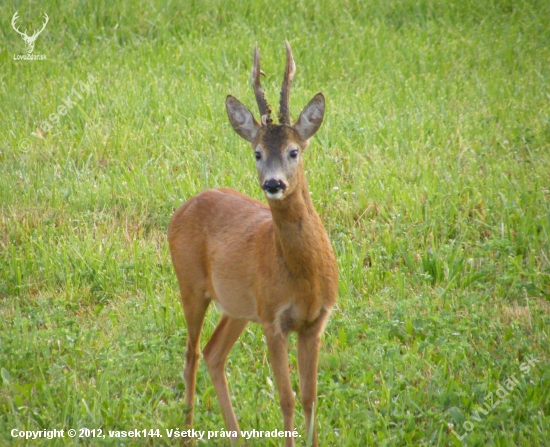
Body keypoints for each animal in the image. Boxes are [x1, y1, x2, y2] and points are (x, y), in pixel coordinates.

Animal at [168, 40, 338, 446]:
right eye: (257, 153)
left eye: (294, 151)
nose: (273, 184)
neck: (305, 276)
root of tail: (182, 208)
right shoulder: (272, 318)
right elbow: (287, 398)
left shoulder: (316, 320)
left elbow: (310, 397)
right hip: (190, 284)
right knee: (191, 353)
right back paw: (188, 432)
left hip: (238, 306)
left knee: (213, 353)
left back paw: (235, 437)